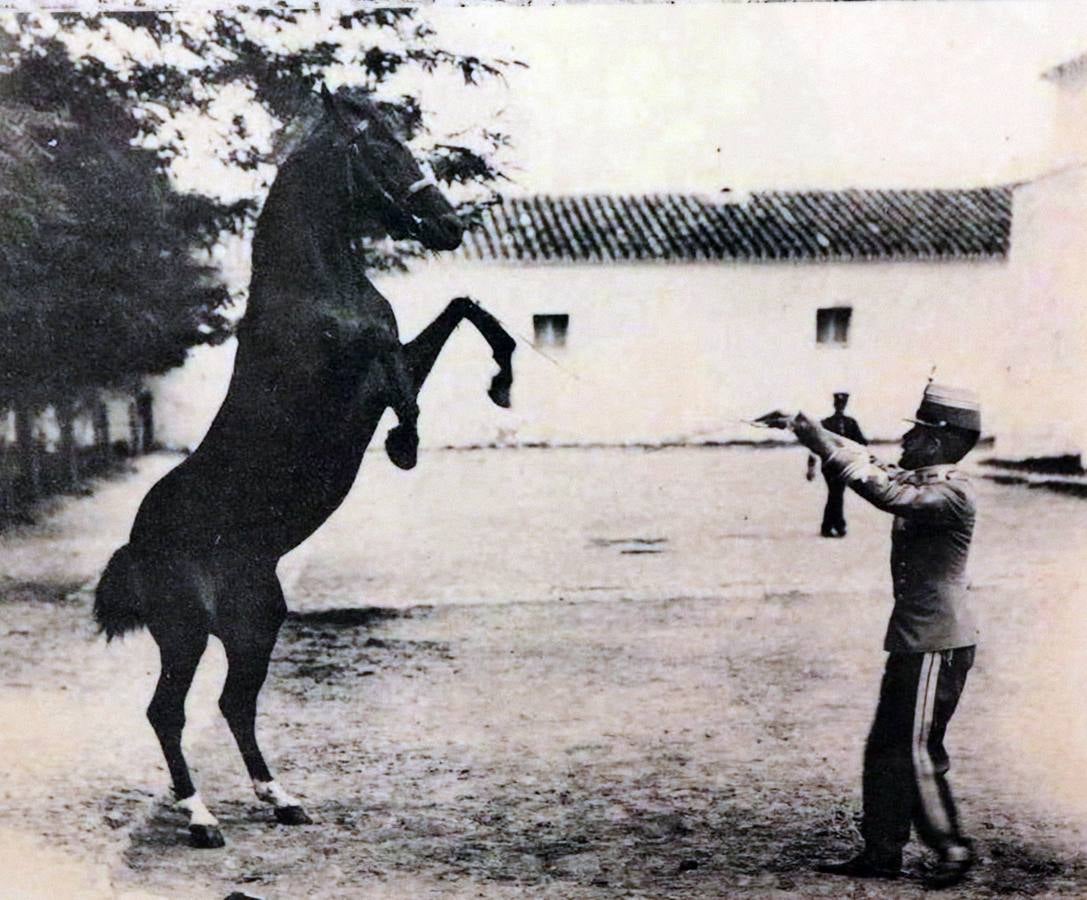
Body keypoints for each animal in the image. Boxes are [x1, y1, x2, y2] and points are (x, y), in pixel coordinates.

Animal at [93, 85, 515, 849]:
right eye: (381, 149)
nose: (448, 226)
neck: (318, 287)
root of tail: (135, 545)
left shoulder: (393, 360)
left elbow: (460, 311)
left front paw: (500, 382)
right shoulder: (355, 369)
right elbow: (390, 361)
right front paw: (405, 444)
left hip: (254, 622)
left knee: (234, 702)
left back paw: (280, 798)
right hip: (184, 629)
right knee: (168, 711)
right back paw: (200, 817)